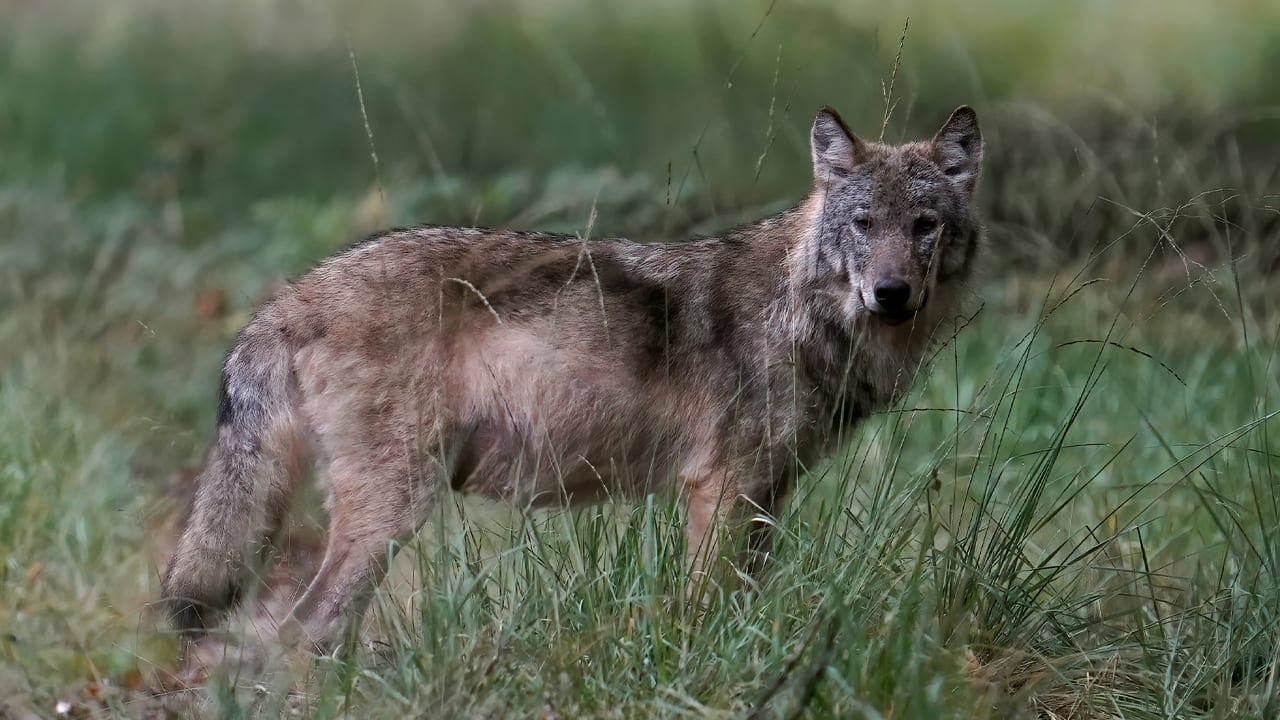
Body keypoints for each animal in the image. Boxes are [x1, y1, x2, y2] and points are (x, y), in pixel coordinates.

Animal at [161, 104, 983, 650]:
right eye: (864, 225)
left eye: (924, 227)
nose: (891, 294)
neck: (803, 312)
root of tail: (292, 295)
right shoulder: (720, 489)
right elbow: (704, 611)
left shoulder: (767, 495)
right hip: (393, 509)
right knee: (303, 631)